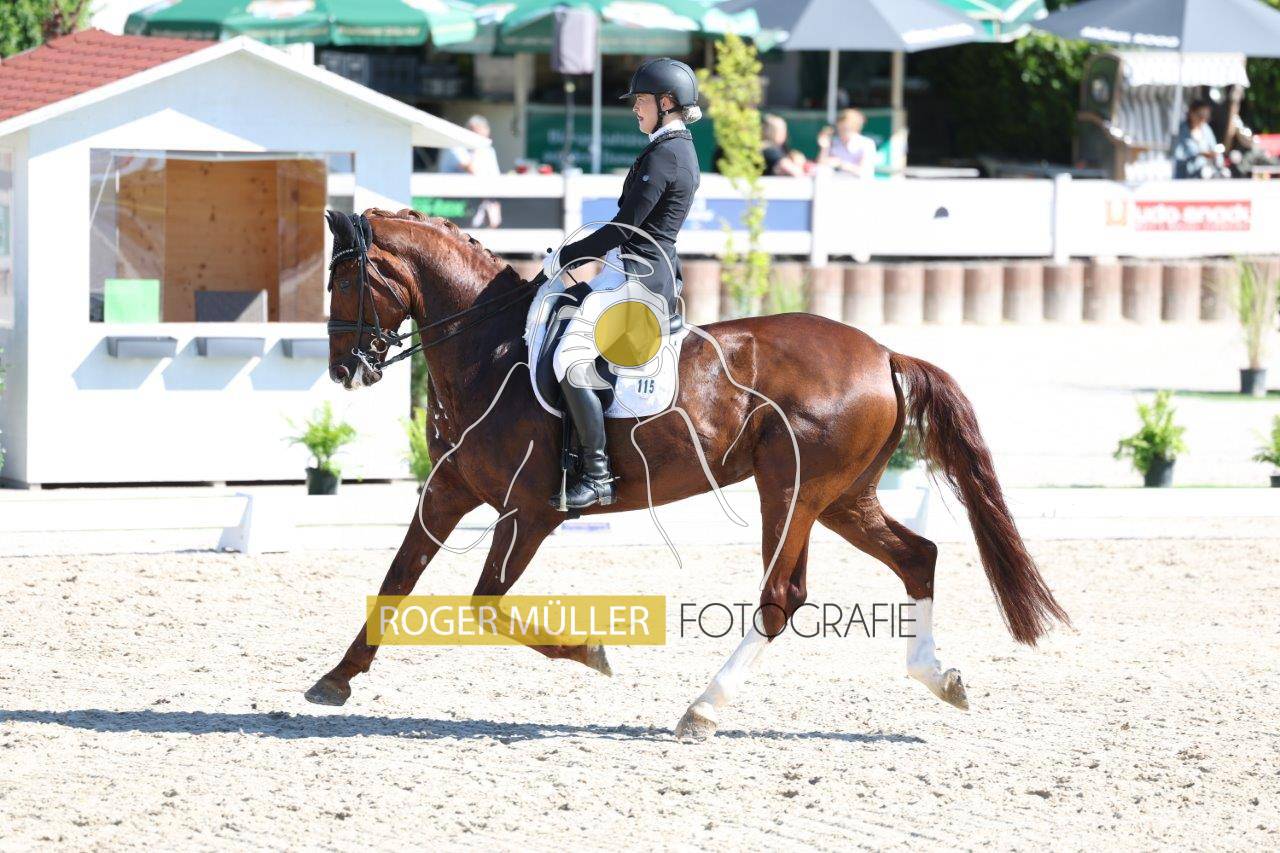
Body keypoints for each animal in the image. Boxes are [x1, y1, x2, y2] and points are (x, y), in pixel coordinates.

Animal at [305, 208, 1070, 741]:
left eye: (342, 281)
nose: (345, 370)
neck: (488, 347)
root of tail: (884, 352)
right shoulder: (448, 489)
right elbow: (397, 579)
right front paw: (334, 680)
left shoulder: (530, 511)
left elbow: (484, 604)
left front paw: (593, 652)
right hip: (842, 498)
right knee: (919, 556)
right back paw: (940, 679)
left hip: (791, 491)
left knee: (782, 597)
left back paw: (702, 710)